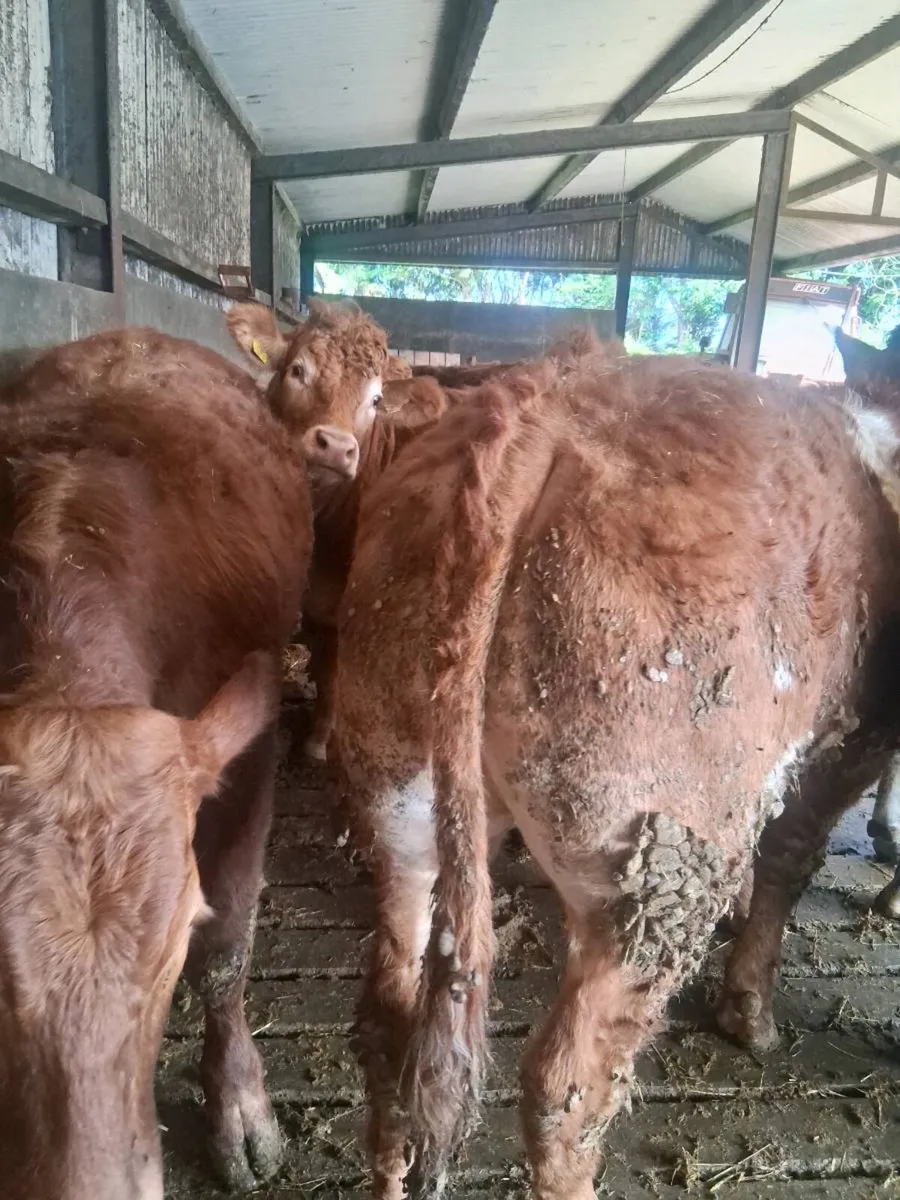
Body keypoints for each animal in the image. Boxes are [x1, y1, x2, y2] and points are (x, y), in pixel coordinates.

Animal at [332, 354, 900, 1199]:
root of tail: (537, 416)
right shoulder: (853, 738)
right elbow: (791, 858)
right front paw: (750, 1012)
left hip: (397, 790)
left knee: (387, 1022)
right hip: (653, 864)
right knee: (565, 1088)